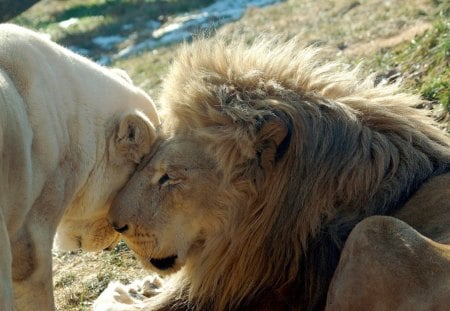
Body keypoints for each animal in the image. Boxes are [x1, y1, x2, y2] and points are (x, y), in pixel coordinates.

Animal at [96, 37, 448, 311]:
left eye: (169, 176)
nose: (116, 225)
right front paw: (145, 286)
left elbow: (109, 300)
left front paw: (130, 290)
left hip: (377, 232)